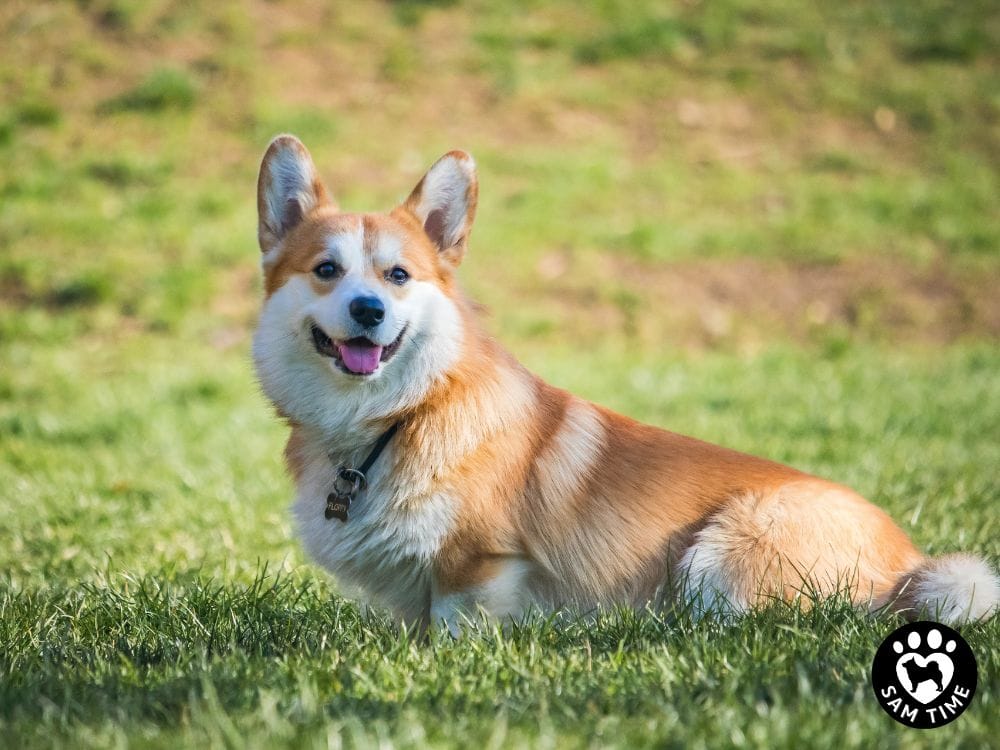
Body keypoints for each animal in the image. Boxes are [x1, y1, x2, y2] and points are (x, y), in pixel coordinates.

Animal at [254, 135, 996, 636]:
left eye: (399, 276)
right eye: (326, 270)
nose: (368, 311)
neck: (396, 417)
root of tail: (911, 565)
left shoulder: (480, 564)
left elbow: (458, 625)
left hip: (719, 557)